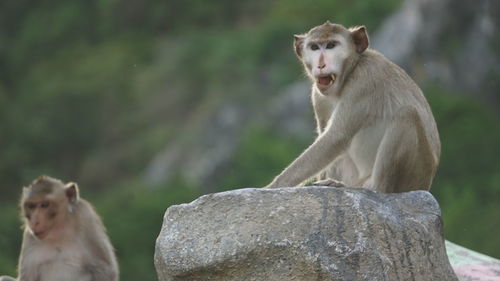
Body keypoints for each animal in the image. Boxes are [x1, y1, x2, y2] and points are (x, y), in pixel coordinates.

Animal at [264, 22, 440, 192]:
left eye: (331, 45)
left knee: (407, 114)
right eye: (314, 47)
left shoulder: (365, 81)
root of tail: (427, 183)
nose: (321, 64)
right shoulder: (318, 96)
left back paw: (376, 187)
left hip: (415, 174)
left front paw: (274, 185)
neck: (350, 71)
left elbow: (336, 137)